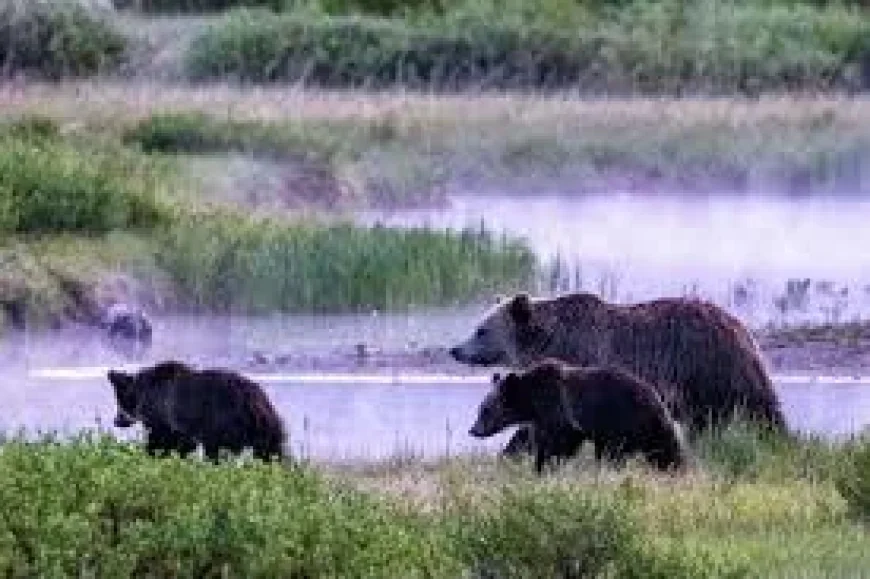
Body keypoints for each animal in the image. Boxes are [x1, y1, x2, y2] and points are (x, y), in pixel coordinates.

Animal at [107, 360, 286, 463]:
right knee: (271, 452)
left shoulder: (166, 414)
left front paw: (152, 454)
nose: (117, 421)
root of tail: (254, 401)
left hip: (222, 422)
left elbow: (164, 440)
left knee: (217, 450)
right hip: (266, 428)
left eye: (119, 401)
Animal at [451, 292, 787, 456]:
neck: (548, 338)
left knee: (750, 412)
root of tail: (739, 326)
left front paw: (513, 451)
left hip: (708, 370)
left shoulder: (577, 365)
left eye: (481, 330)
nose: (455, 349)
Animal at [469, 360, 690, 473]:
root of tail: (656, 399)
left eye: (485, 410)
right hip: (645, 428)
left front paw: (546, 466)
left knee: (617, 453)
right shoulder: (546, 419)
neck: (531, 401)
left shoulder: (560, 411)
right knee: (663, 450)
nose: (473, 430)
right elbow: (541, 442)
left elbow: (557, 445)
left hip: (623, 423)